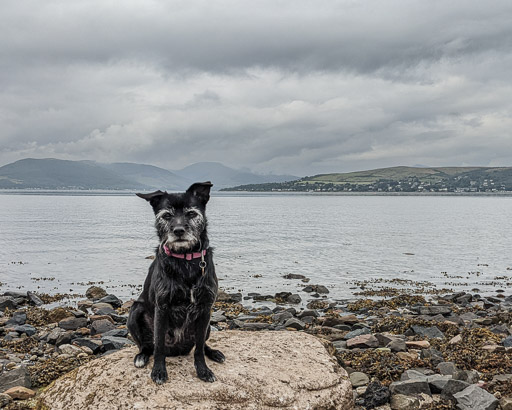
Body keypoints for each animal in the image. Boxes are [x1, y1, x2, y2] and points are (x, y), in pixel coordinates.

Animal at [126, 181, 224, 382]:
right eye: (167, 215)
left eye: (191, 213)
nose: (178, 231)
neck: (185, 260)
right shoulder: (162, 307)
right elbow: (159, 346)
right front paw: (158, 371)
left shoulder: (205, 309)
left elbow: (199, 349)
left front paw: (203, 370)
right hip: (135, 311)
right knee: (147, 346)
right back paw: (141, 356)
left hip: (208, 325)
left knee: (200, 345)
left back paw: (214, 353)